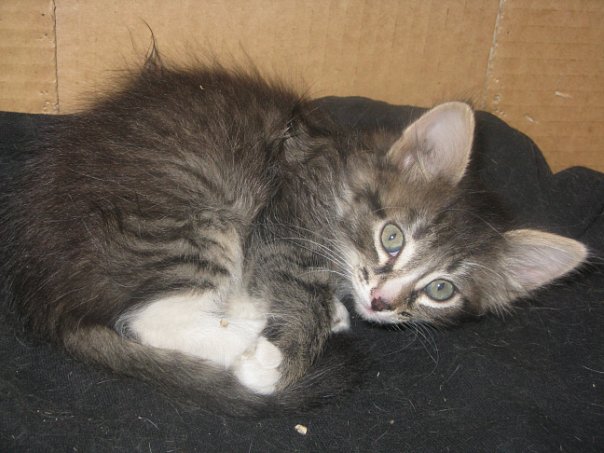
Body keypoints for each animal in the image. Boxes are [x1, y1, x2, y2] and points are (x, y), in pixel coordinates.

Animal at [0, 56, 586, 416]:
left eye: (441, 290)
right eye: (392, 238)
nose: (381, 301)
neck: (342, 171)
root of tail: (39, 290)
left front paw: (331, 310)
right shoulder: (283, 219)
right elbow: (299, 286)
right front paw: (278, 362)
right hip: (196, 215)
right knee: (151, 318)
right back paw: (251, 341)